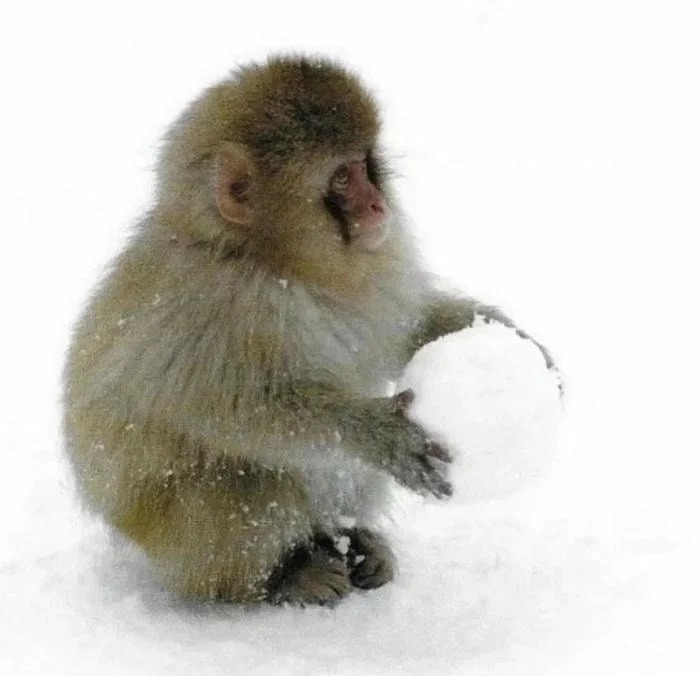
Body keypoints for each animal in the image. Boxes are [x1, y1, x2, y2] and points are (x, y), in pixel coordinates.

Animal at [63, 56, 553, 605]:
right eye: (340, 178)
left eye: (364, 165)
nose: (378, 206)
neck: (278, 264)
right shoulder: (219, 304)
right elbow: (242, 410)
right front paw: (380, 434)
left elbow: (403, 328)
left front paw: (517, 341)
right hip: (178, 541)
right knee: (247, 485)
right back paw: (282, 575)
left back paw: (350, 540)